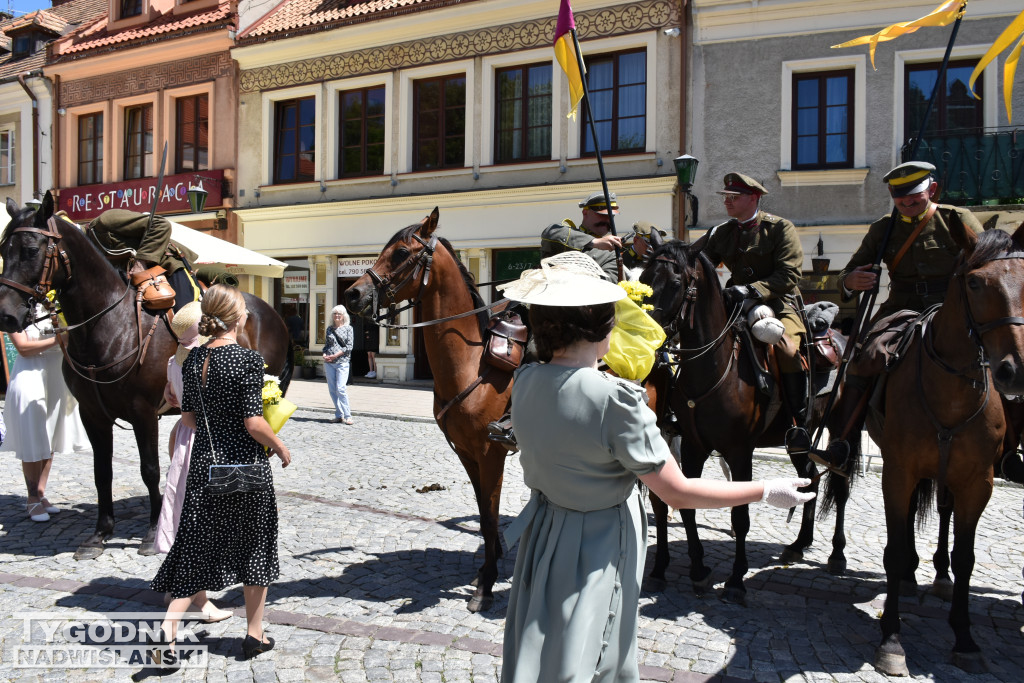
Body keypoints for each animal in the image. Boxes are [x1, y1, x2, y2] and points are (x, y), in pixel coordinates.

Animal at [0, 192, 294, 561]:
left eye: (30, 250)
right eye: (2, 250)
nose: (6, 316)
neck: (109, 324)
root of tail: (271, 311)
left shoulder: (143, 412)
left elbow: (149, 469)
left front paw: (153, 533)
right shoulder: (92, 414)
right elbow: (102, 472)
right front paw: (100, 533)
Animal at [344, 209, 512, 614]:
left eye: (402, 252)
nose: (353, 293)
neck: (471, 366)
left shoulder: (491, 453)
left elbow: (490, 514)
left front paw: (486, 583)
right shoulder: (467, 453)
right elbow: (483, 513)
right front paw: (488, 567)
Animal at [638, 240, 847, 602]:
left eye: (676, 283)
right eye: (644, 278)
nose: (643, 335)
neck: (715, 368)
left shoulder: (738, 452)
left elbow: (741, 515)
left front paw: (735, 580)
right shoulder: (692, 447)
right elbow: (688, 503)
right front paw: (698, 571)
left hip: (843, 428)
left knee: (841, 485)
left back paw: (836, 553)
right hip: (799, 441)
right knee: (810, 479)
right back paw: (799, 544)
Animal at [868, 225, 1024, 679]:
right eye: (975, 283)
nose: (1014, 370)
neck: (951, 389)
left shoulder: (979, 482)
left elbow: (966, 557)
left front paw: (965, 639)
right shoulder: (896, 470)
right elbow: (894, 548)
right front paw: (892, 638)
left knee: (943, 512)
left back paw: (937, 575)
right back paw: (909, 576)